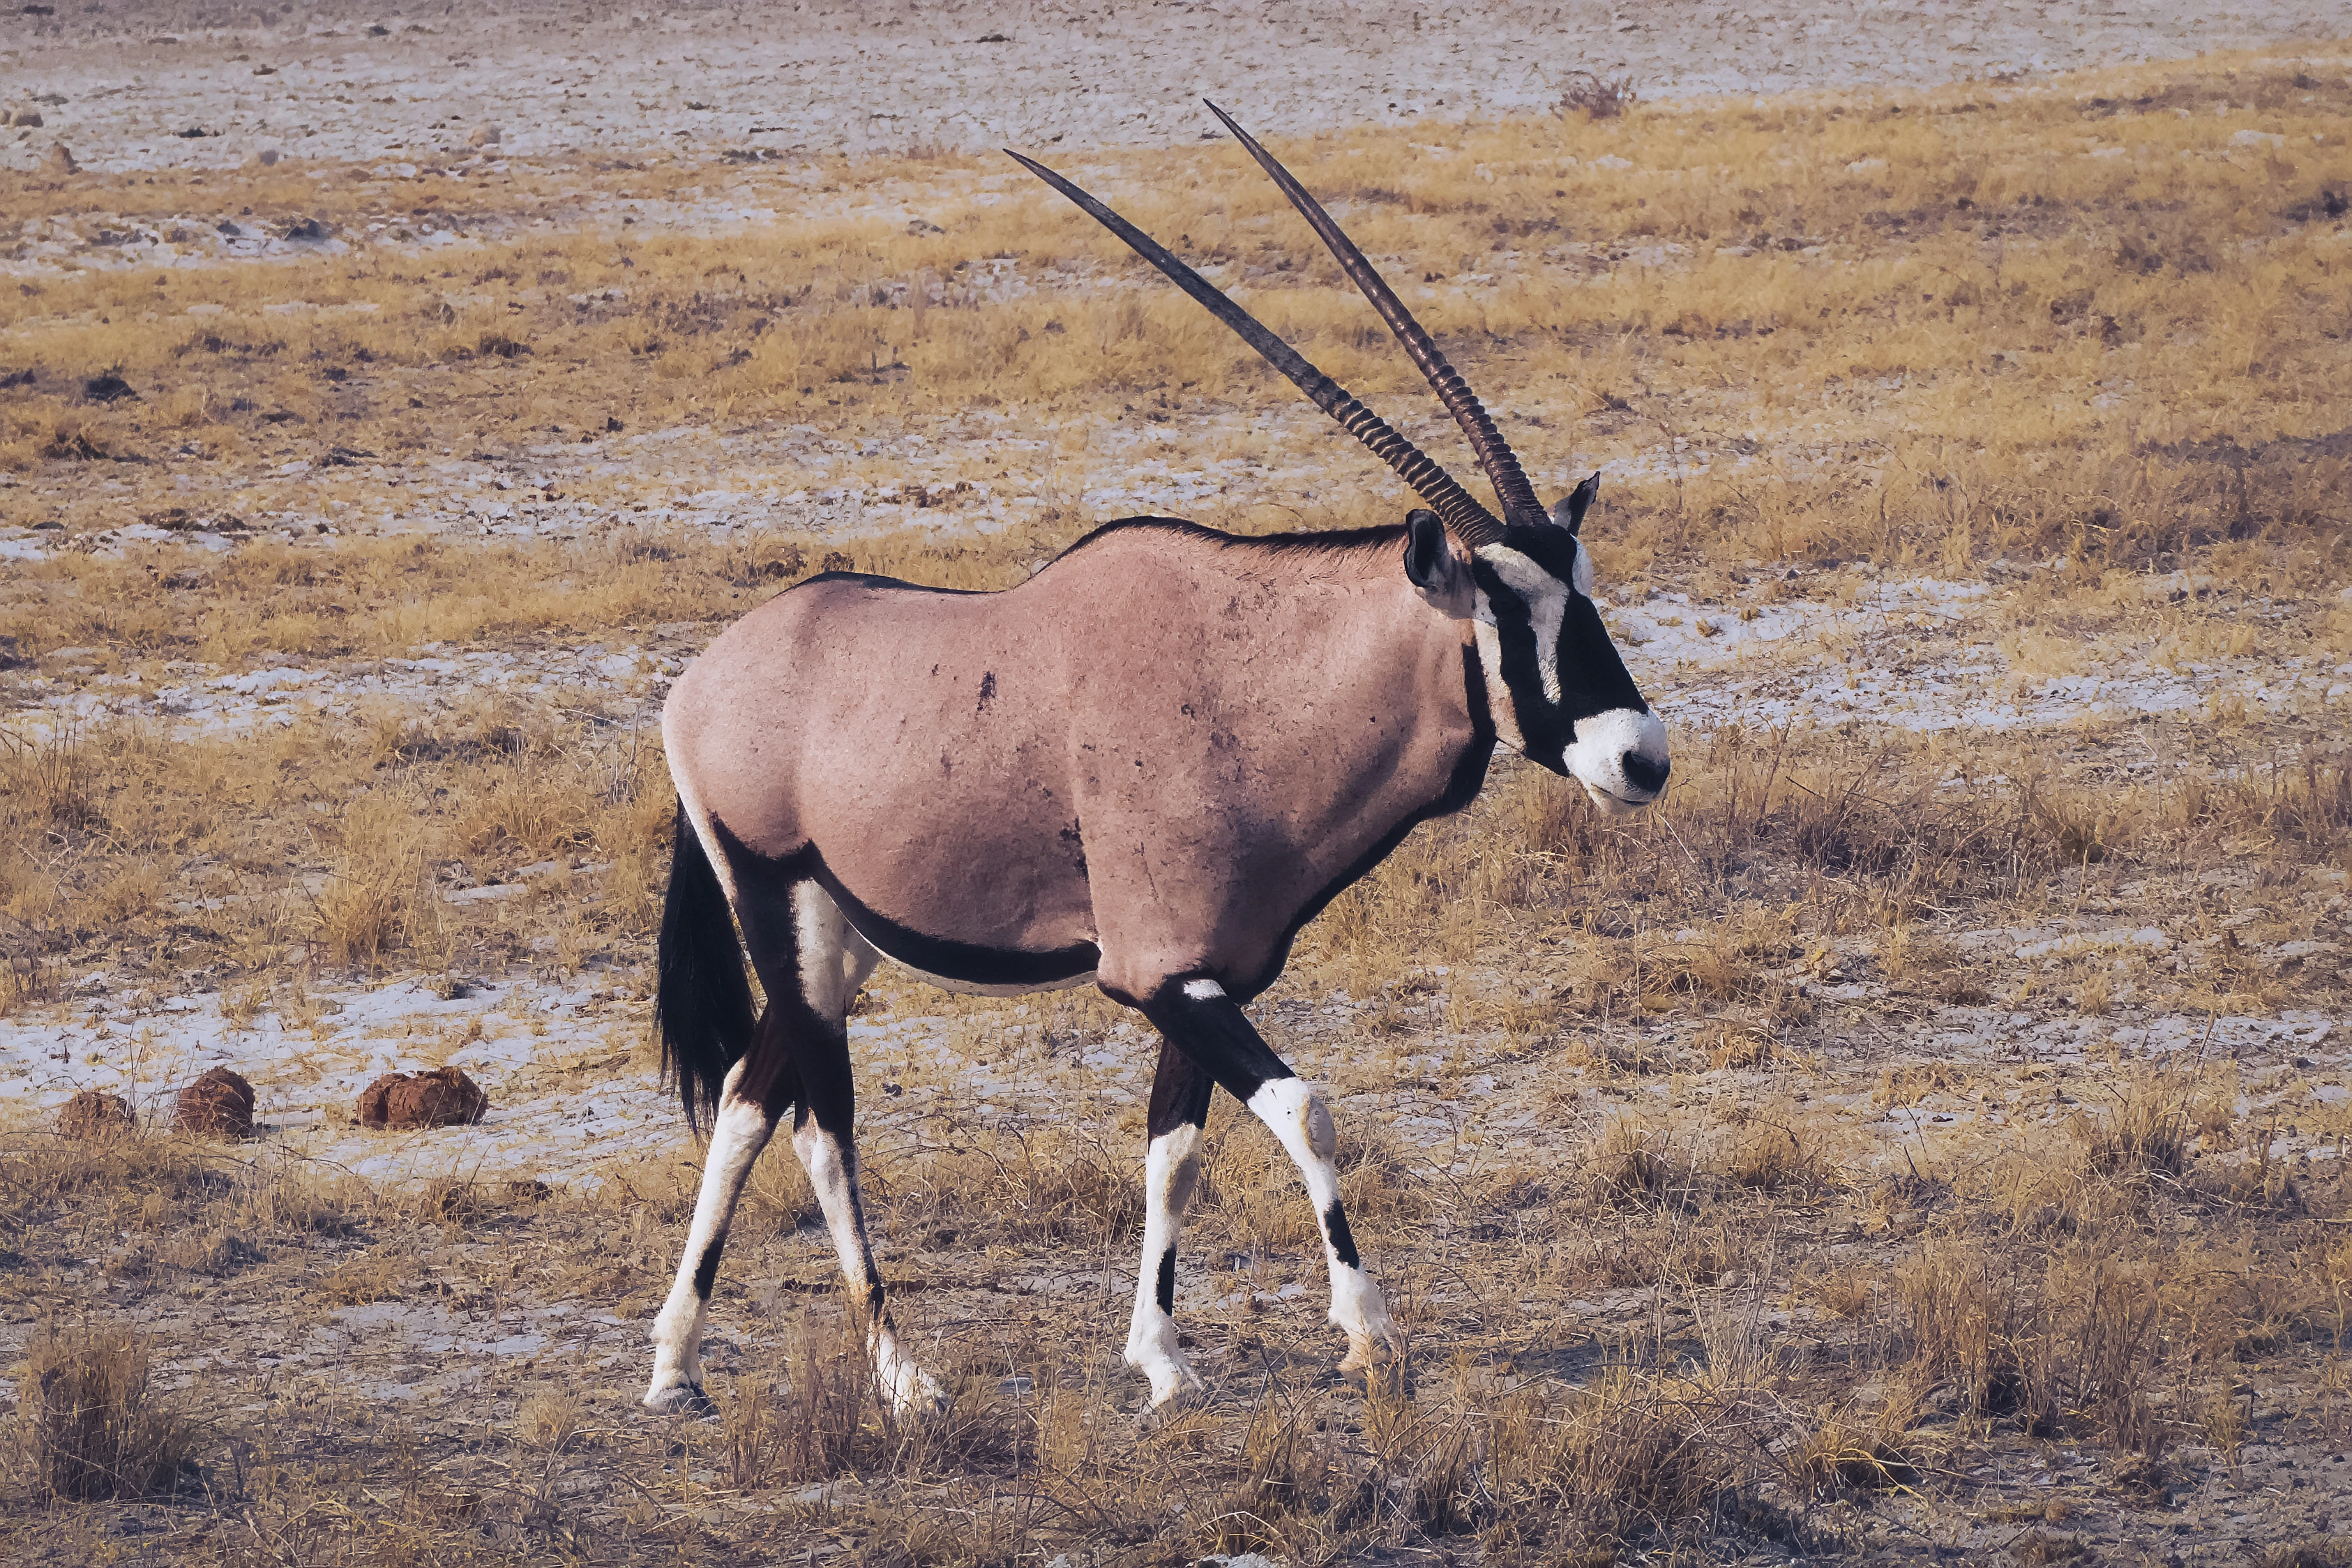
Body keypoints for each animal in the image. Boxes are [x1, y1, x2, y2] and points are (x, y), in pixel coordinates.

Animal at [641, 104, 1669, 1421]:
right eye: (1500, 605)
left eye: (1582, 586)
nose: (1637, 758)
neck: (1247, 680)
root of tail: (701, 682)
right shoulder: (1156, 973)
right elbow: (1303, 1108)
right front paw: (1368, 1333)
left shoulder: (1209, 973)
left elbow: (1173, 1151)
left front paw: (1164, 1358)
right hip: (783, 918)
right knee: (824, 1124)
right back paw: (903, 1376)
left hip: (836, 943)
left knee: (745, 1098)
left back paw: (674, 1363)